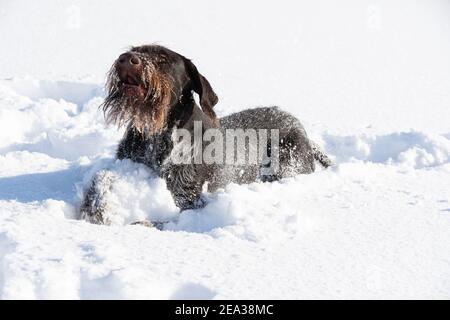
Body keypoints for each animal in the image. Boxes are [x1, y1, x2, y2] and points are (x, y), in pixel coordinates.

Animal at [80, 45, 330, 225]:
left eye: (163, 58)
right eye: (134, 48)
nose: (125, 58)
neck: (158, 134)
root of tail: (300, 128)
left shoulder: (189, 197)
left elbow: (162, 220)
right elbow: (101, 177)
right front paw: (95, 208)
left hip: (287, 164)